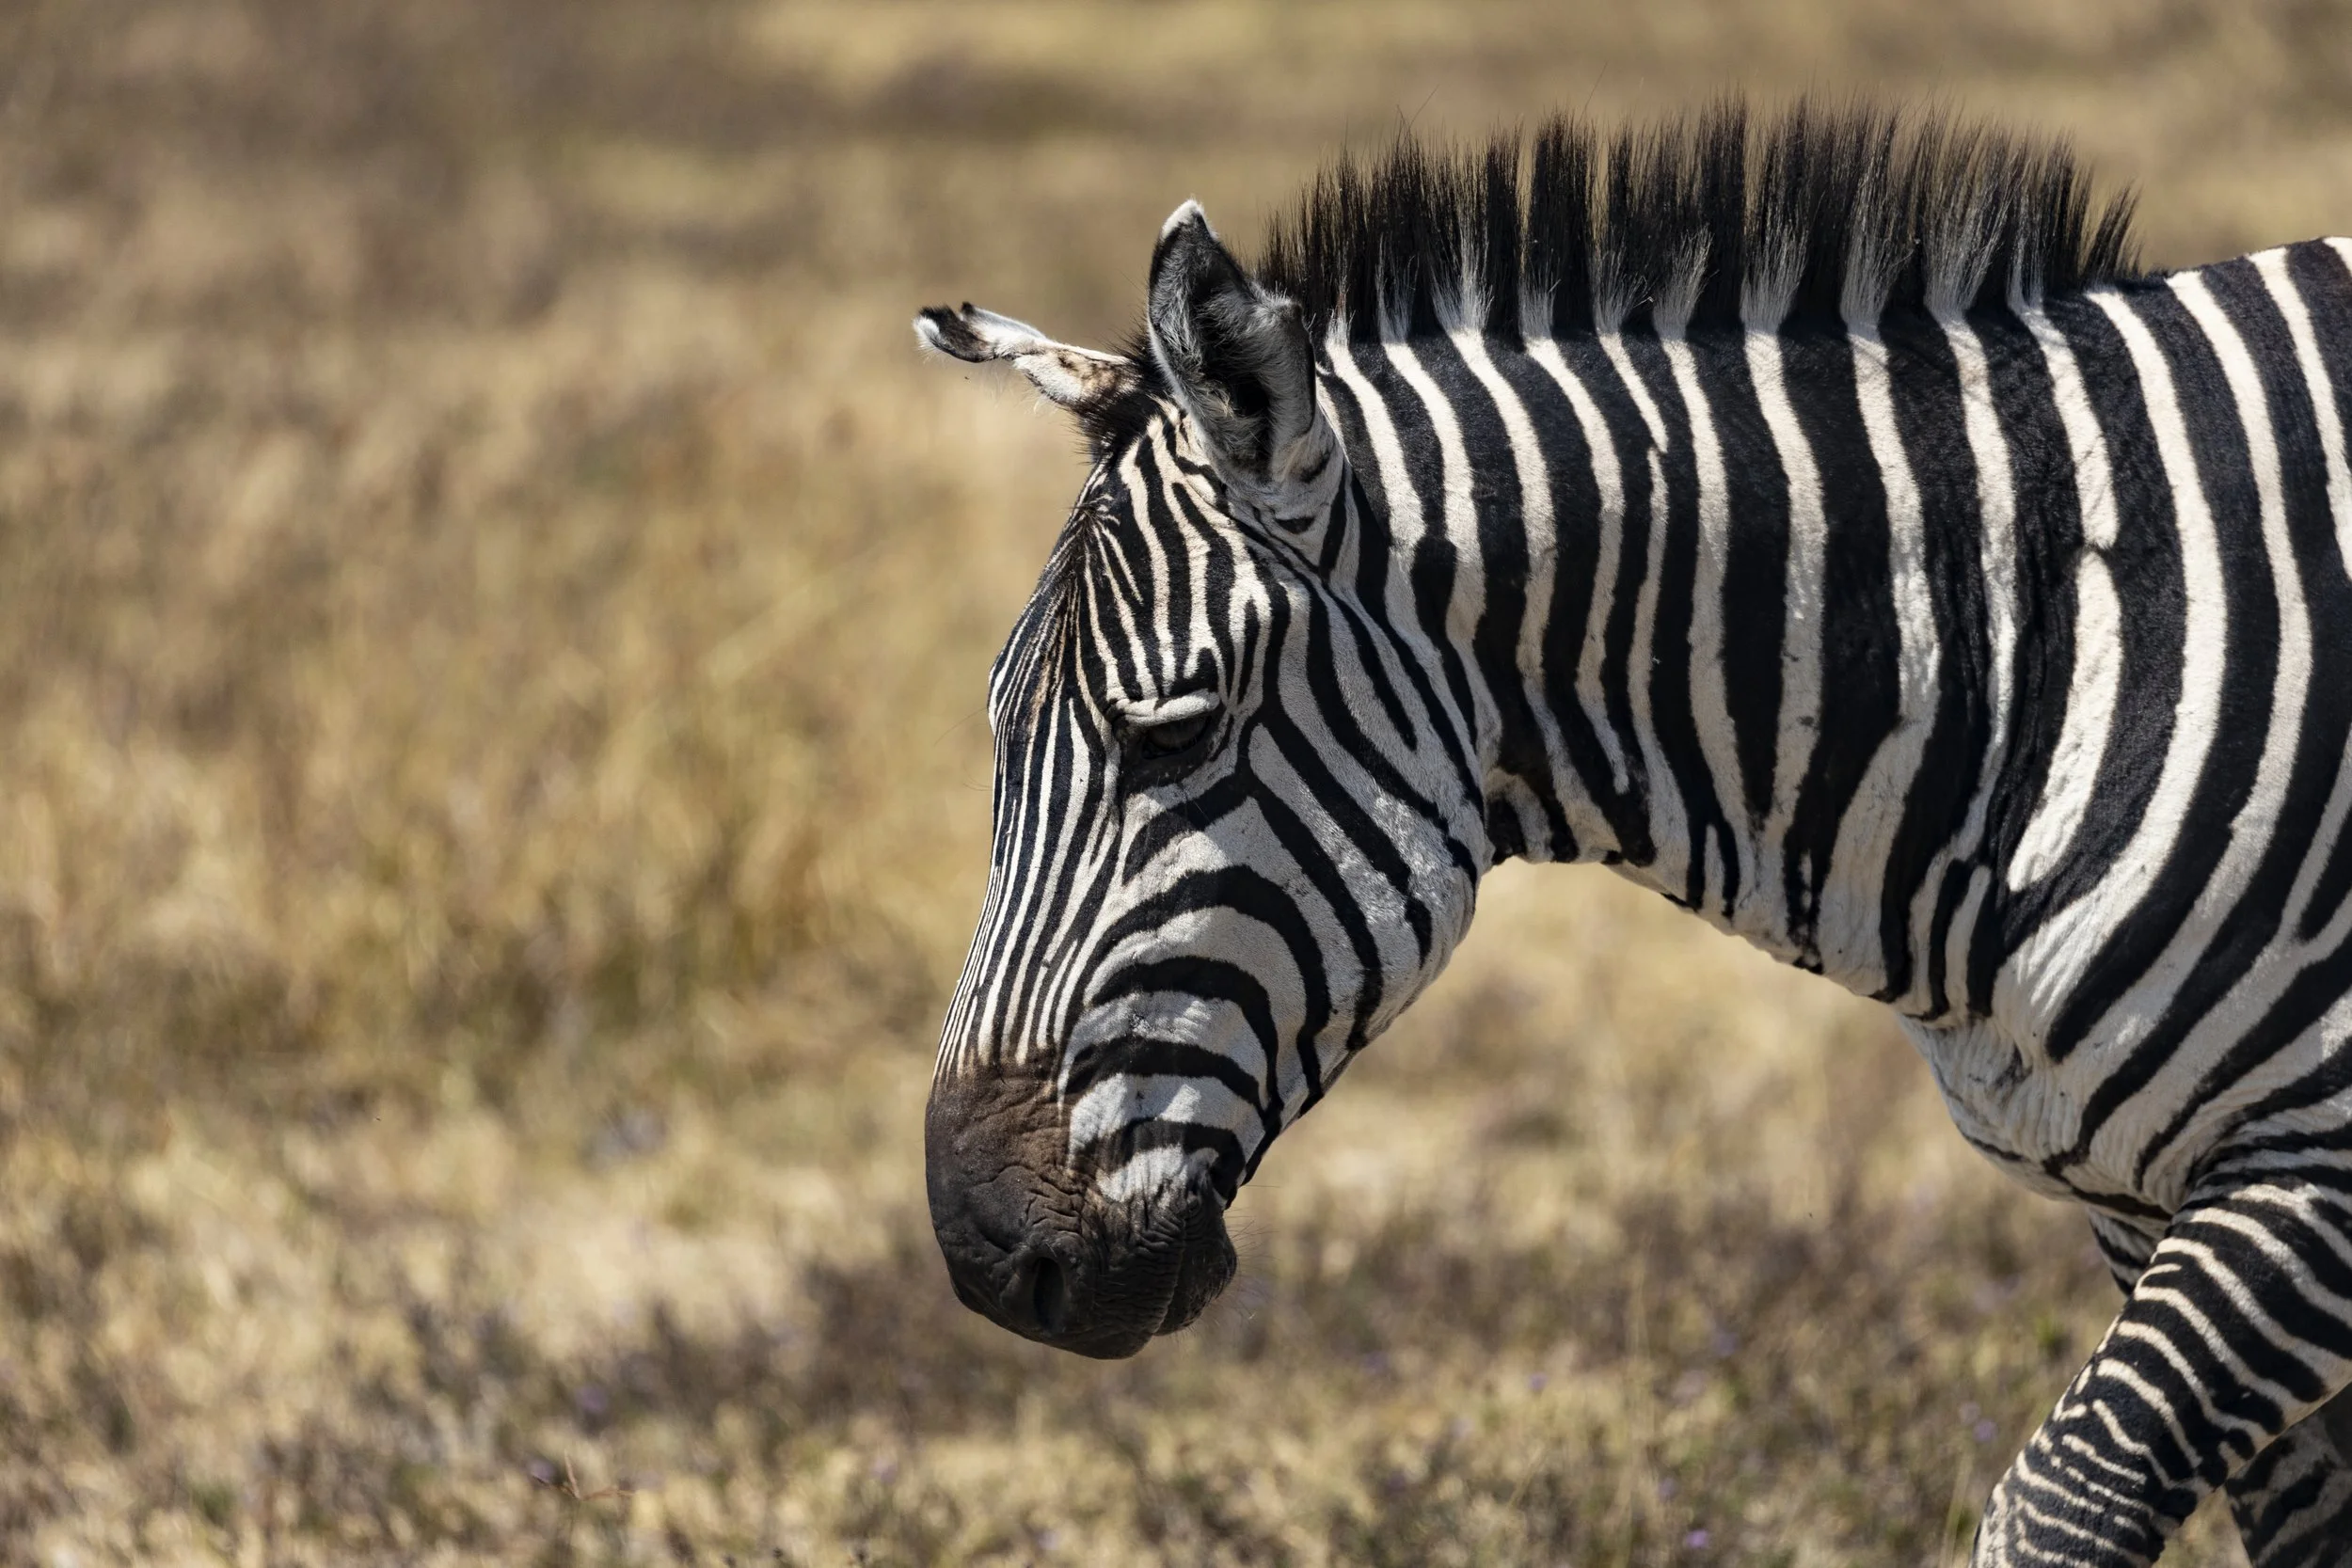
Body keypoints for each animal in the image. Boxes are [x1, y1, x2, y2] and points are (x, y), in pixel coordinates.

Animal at [914, 102, 2352, 1566]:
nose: (984, 1258)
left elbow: (2058, 1506)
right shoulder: (2136, 1196)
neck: (2031, 653)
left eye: (1174, 734)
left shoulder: (2305, 1174)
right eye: (994, 729)